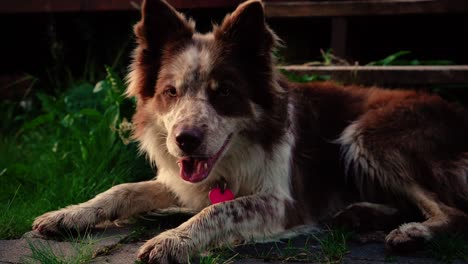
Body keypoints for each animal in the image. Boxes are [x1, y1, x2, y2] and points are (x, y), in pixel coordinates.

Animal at [33, 0, 468, 262]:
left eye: (223, 92)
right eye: (171, 92)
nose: (185, 141)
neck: (232, 158)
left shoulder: (282, 201)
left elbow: (221, 207)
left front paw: (173, 239)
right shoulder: (182, 178)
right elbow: (122, 189)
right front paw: (68, 214)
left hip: (369, 136)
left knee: (453, 211)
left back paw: (412, 232)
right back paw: (360, 213)